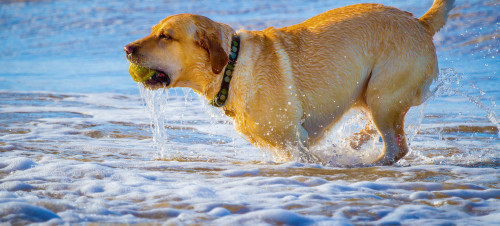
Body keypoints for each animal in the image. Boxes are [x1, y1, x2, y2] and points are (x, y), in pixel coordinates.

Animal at [124, 0, 454, 166]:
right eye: (153, 31)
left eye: (165, 36)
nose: (126, 48)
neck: (232, 67)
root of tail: (420, 22)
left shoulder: (295, 142)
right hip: (371, 98)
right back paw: (353, 145)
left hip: (382, 95)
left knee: (396, 148)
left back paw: (364, 162)